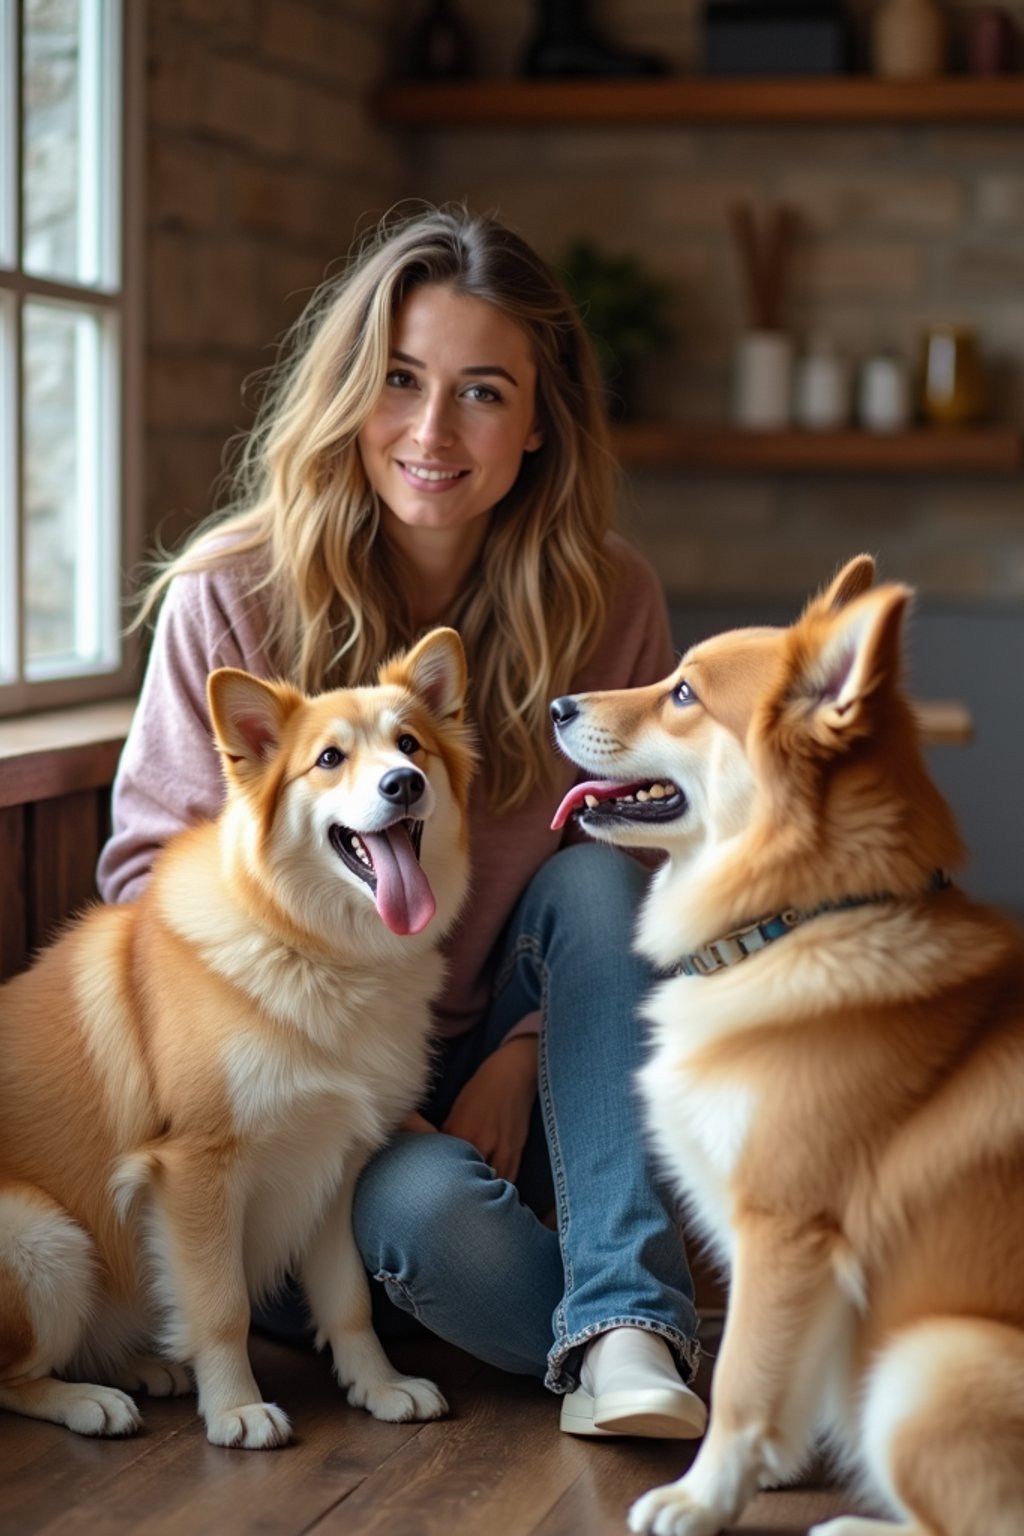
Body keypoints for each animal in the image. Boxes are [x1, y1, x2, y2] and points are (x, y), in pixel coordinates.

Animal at [0, 623, 472, 1449]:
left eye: (411, 744)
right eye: (329, 759)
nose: (404, 784)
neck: (314, 950)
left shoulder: (332, 1166)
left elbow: (347, 1301)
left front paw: (378, 1386)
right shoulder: (195, 1170)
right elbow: (221, 1309)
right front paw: (235, 1410)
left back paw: (141, 1367)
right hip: (44, 1238)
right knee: (12, 1378)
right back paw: (89, 1401)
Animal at [552, 562, 1024, 1536]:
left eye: (683, 693)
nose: (555, 705)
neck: (790, 924)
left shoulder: (784, 1228)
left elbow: (740, 1378)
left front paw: (700, 1497)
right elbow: (781, 1375)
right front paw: (765, 1471)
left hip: (927, 1364)